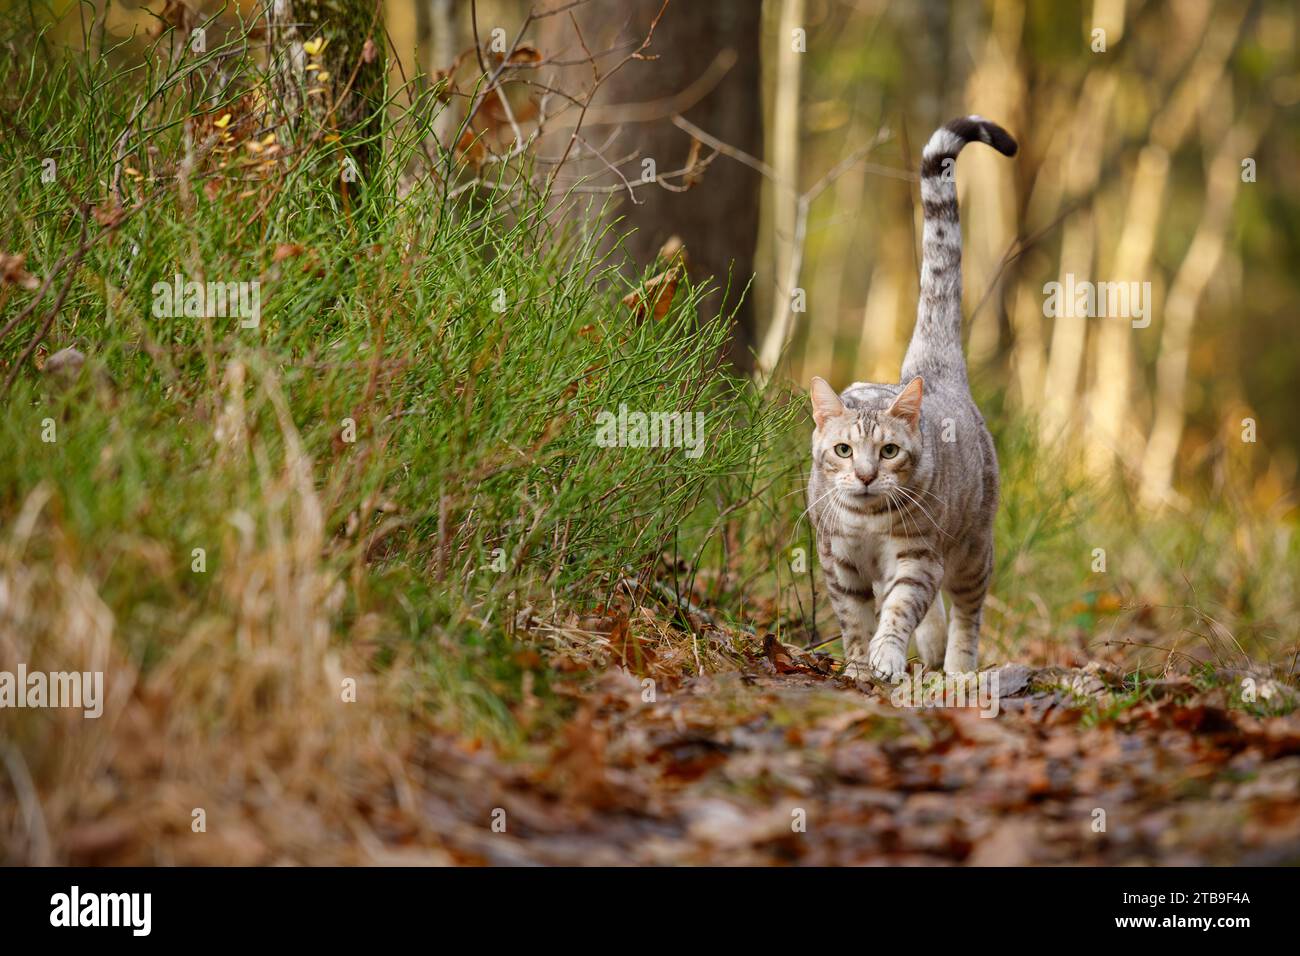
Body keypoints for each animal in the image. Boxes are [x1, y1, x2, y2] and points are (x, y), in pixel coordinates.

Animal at [811, 115, 1013, 686]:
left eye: (889, 451)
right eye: (842, 450)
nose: (864, 476)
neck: (867, 523)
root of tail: (933, 370)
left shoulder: (919, 558)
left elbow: (900, 610)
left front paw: (886, 658)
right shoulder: (839, 563)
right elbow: (855, 620)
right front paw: (860, 665)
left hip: (972, 549)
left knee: (967, 610)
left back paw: (959, 668)